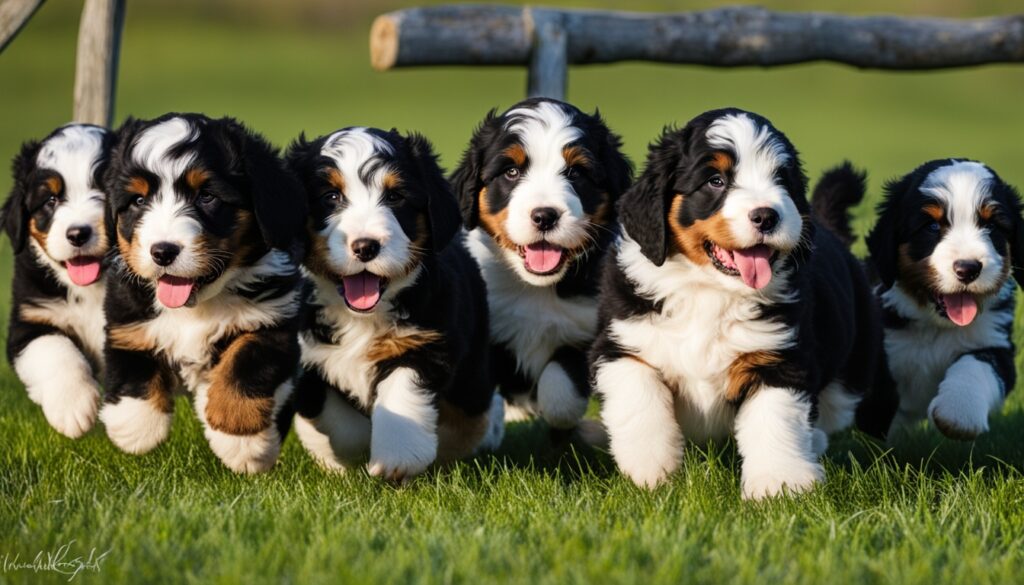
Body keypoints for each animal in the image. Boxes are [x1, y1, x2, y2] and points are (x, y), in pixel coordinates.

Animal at [1, 126, 116, 442]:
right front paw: (73, 407)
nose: (78, 233)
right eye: (51, 200)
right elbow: (54, 349)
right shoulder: (29, 319)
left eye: (103, 192)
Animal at [99, 112, 307, 473]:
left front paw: (241, 439)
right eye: (139, 200)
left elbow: (246, 363)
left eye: (206, 197)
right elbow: (132, 365)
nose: (163, 251)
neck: (196, 307)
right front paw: (136, 427)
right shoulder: (128, 318)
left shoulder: (273, 318)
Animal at [286, 128, 501, 481]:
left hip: (472, 373)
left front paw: (397, 458)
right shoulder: (307, 359)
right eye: (331, 197)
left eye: (395, 197)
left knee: (471, 413)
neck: (361, 317)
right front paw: (347, 452)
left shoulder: (424, 344)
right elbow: (340, 425)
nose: (365, 246)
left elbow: (402, 395)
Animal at [593, 109, 888, 499]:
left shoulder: (780, 360)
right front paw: (651, 471)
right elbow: (640, 401)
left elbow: (775, 423)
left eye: (780, 180)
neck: (710, 290)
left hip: (851, 375)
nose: (766, 215)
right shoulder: (620, 343)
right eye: (716, 181)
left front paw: (778, 486)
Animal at [864, 157, 1024, 442]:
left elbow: (977, 365)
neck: (935, 327)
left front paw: (959, 413)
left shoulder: (995, 343)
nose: (968, 268)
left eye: (991, 226)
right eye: (932, 226)